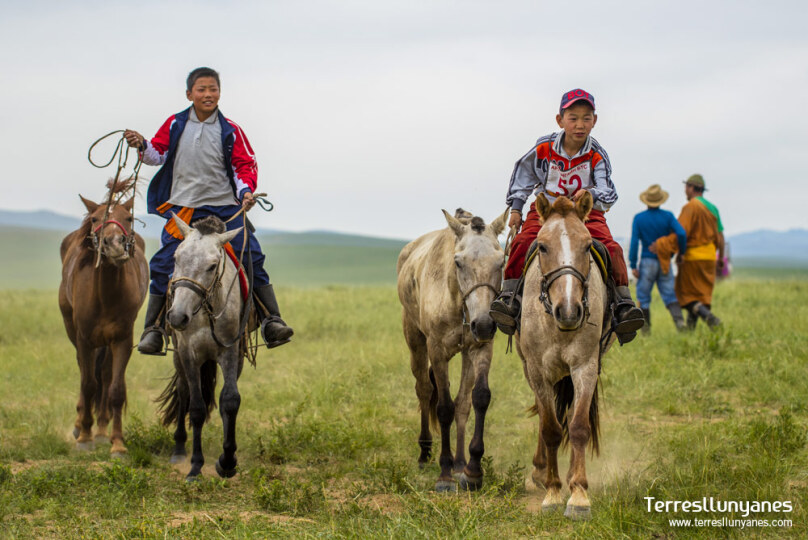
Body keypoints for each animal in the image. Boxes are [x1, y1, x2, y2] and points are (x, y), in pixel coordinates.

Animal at [60, 181, 150, 456]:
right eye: (95, 219)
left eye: (128, 218)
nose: (114, 244)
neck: (105, 295)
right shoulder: (84, 339)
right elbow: (88, 384)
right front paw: (84, 437)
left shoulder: (121, 340)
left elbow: (115, 390)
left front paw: (117, 443)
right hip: (73, 332)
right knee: (85, 373)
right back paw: (82, 425)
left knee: (106, 375)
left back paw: (101, 430)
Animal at [155, 215, 246, 480]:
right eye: (176, 258)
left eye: (212, 266)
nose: (177, 317)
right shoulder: (189, 353)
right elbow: (195, 407)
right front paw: (195, 467)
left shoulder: (230, 351)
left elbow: (230, 400)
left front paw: (227, 462)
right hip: (180, 359)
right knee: (183, 391)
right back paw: (178, 449)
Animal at [396, 208, 504, 494]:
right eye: (458, 262)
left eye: (501, 262)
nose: (484, 323)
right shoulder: (436, 350)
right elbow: (444, 407)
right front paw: (444, 474)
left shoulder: (479, 347)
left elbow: (476, 399)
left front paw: (470, 470)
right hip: (415, 340)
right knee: (424, 390)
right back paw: (425, 453)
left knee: (462, 403)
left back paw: (459, 462)